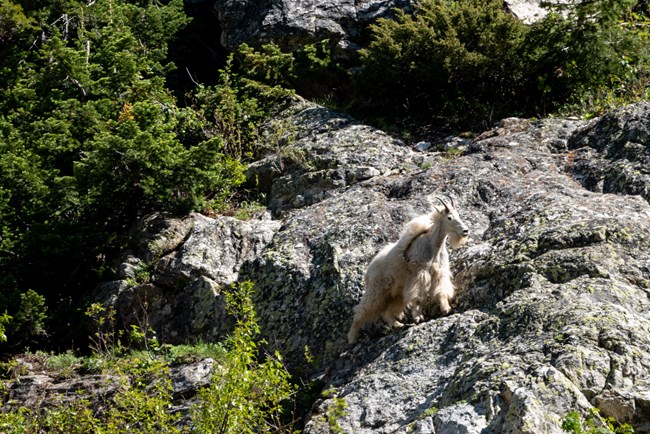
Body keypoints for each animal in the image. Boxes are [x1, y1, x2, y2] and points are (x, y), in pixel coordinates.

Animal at [344, 198, 466, 344]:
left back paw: (398, 325)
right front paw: (418, 318)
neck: (434, 246)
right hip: (376, 289)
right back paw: (352, 338)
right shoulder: (419, 274)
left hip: (396, 292)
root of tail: (369, 270)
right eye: (449, 217)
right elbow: (418, 298)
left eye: (458, 215)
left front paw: (446, 309)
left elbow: (441, 291)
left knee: (386, 312)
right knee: (362, 310)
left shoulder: (439, 272)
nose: (465, 231)